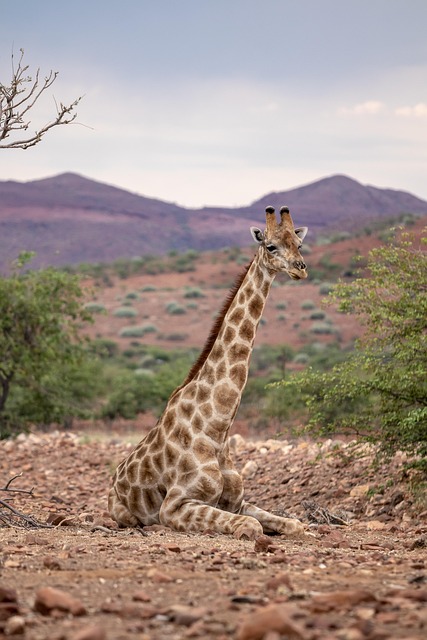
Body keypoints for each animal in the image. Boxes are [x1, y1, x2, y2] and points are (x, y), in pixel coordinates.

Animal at [108, 206, 310, 540]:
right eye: (271, 246)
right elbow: (252, 527)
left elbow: (295, 524)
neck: (218, 429)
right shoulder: (175, 506)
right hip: (125, 514)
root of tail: (113, 480)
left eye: (299, 243)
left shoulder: (238, 502)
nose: (300, 269)